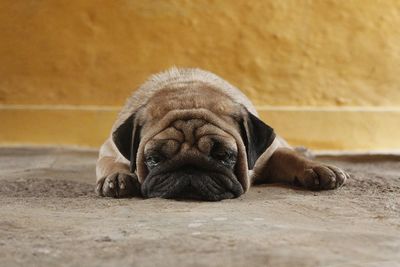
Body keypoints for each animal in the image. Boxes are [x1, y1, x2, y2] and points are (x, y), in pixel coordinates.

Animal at [95, 68, 348, 202]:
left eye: (223, 155)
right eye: (154, 159)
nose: (189, 167)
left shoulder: (270, 152)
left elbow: (289, 156)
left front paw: (316, 168)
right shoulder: (110, 148)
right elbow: (111, 163)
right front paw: (116, 177)